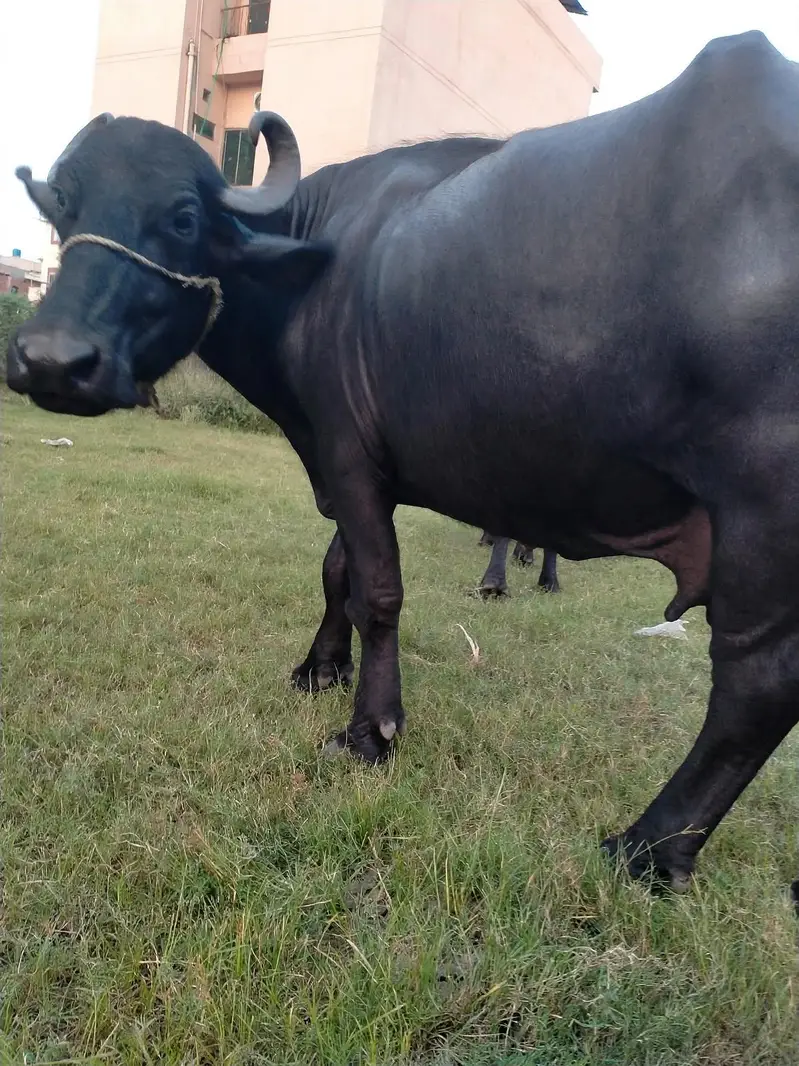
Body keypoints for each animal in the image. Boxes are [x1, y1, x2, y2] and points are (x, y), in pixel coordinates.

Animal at [8, 31, 799, 895]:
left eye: (182, 217)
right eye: (61, 211)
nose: (53, 361)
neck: (310, 271)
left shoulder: (349, 459)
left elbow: (378, 592)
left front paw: (369, 729)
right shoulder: (343, 456)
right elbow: (337, 572)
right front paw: (319, 668)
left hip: (762, 515)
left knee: (755, 687)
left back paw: (650, 846)